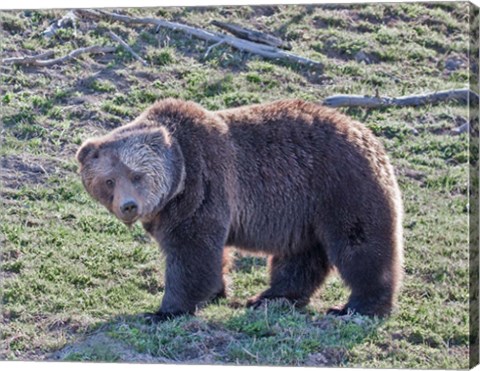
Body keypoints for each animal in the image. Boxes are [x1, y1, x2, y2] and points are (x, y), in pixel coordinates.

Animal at [77, 99, 404, 322]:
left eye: (137, 175)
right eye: (109, 180)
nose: (129, 206)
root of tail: (367, 135)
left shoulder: (204, 185)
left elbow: (191, 252)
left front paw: (164, 311)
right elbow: (210, 253)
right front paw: (217, 291)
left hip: (340, 186)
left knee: (360, 245)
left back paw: (356, 307)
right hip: (304, 211)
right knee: (300, 256)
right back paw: (270, 297)